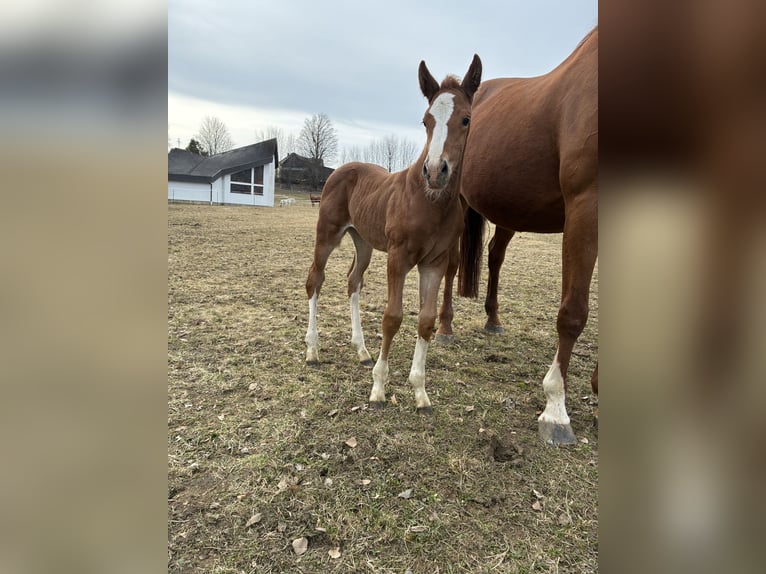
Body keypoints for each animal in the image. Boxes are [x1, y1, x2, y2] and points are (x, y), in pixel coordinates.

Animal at [304, 54, 482, 413]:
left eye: (466, 119)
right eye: (426, 121)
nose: (435, 171)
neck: (428, 201)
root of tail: (339, 170)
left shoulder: (435, 263)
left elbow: (425, 320)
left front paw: (421, 392)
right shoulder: (398, 258)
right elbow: (392, 317)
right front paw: (378, 389)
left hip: (363, 241)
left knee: (353, 281)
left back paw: (361, 349)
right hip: (328, 234)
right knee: (315, 279)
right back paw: (312, 349)